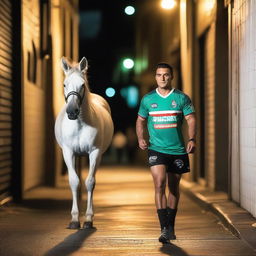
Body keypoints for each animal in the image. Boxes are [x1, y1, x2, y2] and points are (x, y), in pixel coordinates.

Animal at [55, 57, 114, 229]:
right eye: (64, 84)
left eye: (82, 85)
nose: (72, 112)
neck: (80, 124)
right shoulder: (68, 152)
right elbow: (74, 182)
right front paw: (75, 219)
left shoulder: (94, 152)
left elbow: (90, 182)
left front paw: (88, 219)